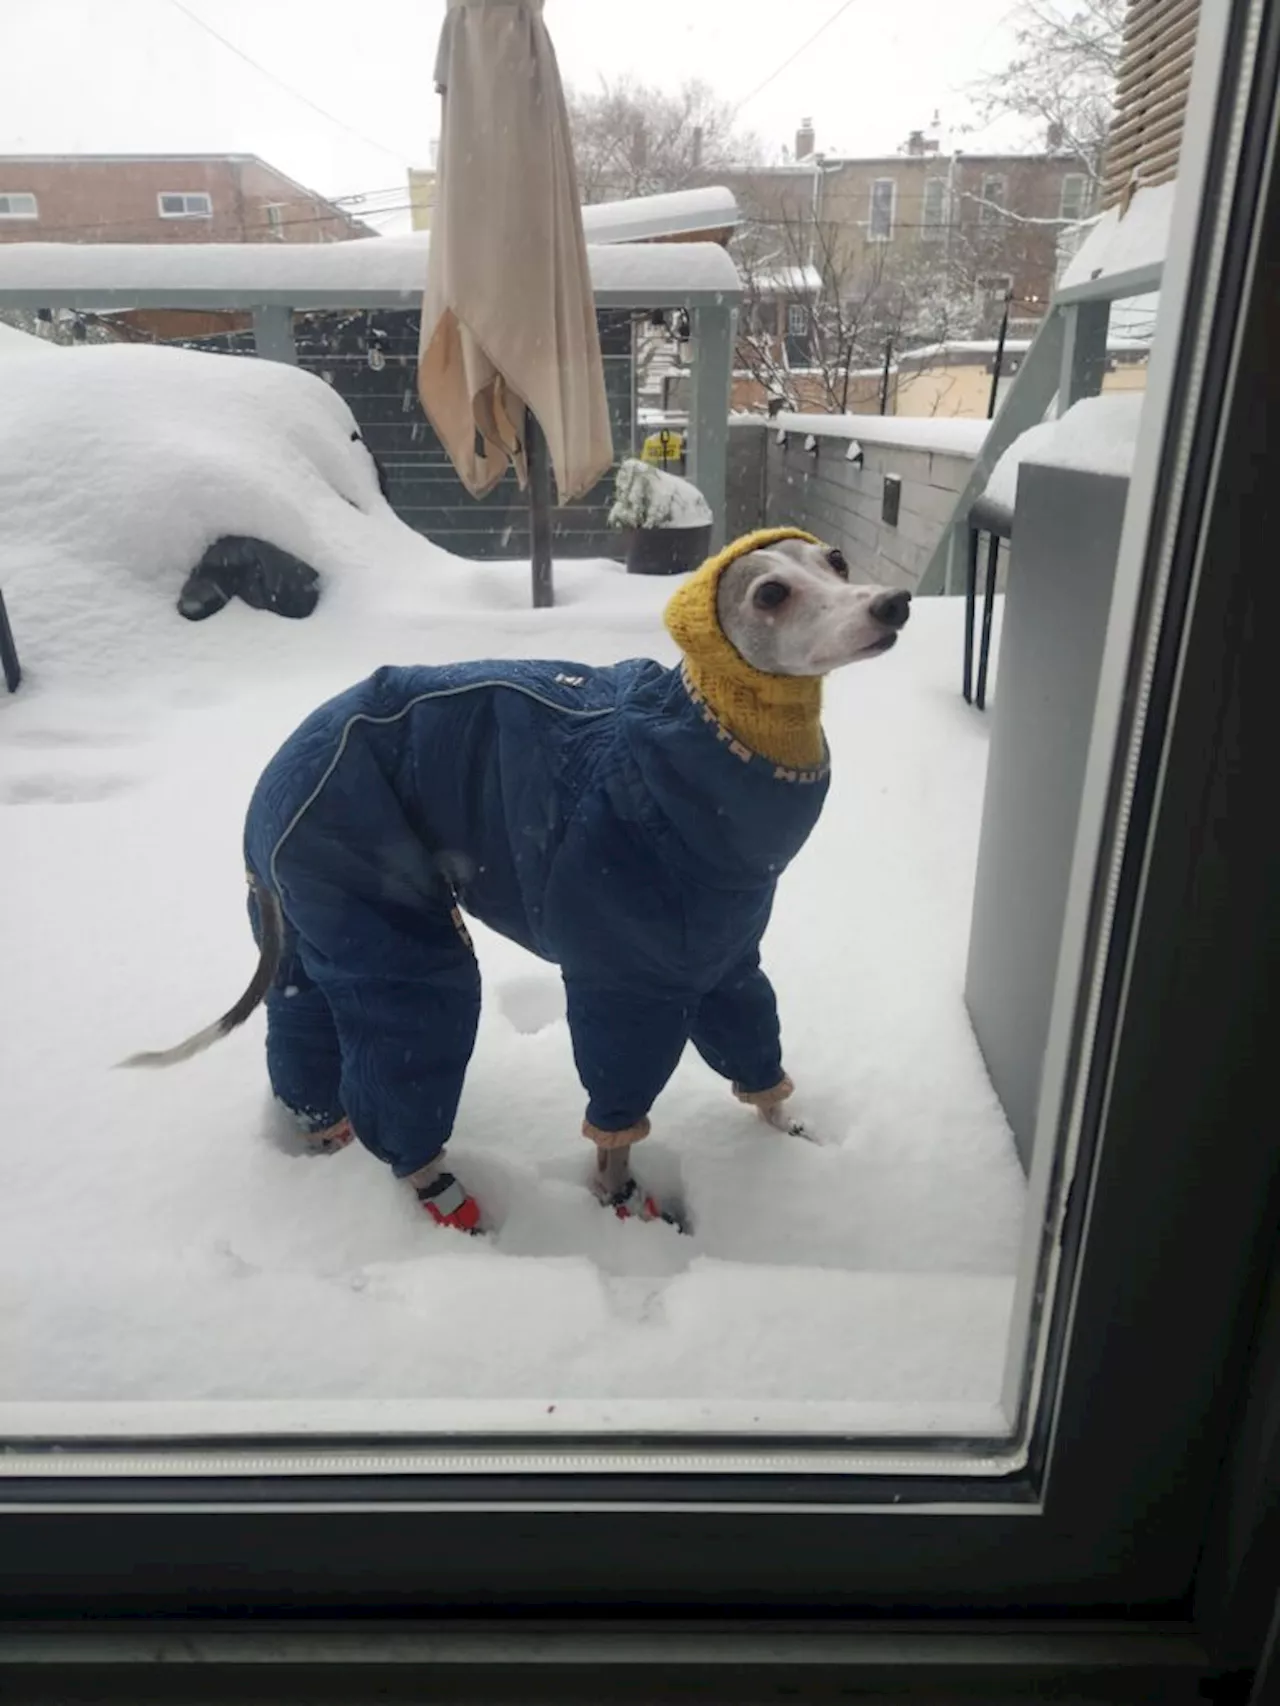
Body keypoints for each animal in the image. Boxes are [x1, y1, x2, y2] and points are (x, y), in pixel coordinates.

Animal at [125, 525, 914, 1235]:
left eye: (837, 560)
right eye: (771, 593)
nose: (894, 604)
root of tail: (270, 794)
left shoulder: (726, 961)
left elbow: (755, 1045)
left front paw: (794, 1137)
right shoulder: (625, 980)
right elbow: (618, 1110)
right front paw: (622, 1205)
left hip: (306, 919)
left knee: (301, 1023)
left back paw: (324, 1134)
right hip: (377, 897)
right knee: (411, 1022)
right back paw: (440, 1193)